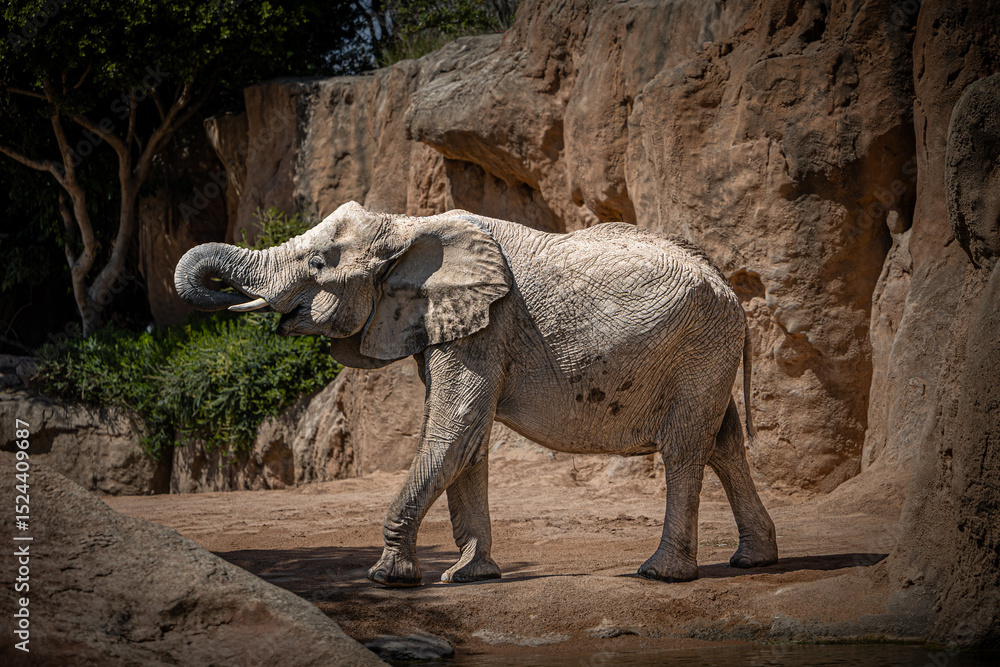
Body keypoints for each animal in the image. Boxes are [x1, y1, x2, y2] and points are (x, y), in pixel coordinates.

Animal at [174, 201, 778, 586]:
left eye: (318, 264)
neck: (409, 224)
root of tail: (731, 289)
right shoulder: (452, 324)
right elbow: (470, 443)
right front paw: (470, 576)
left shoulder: (488, 324)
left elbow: (455, 432)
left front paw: (389, 578)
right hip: (709, 351)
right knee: (724, 444)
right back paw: (754, 561)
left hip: (700, 346)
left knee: (685, 448)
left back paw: (660, 574)